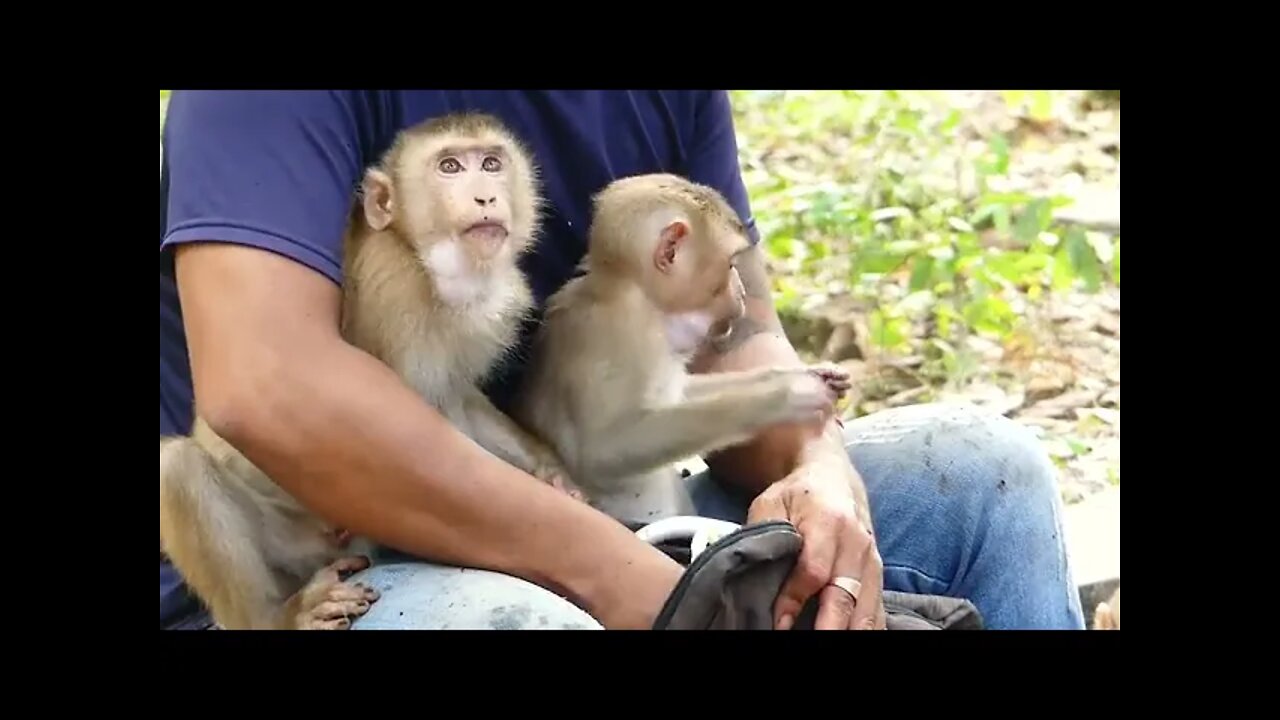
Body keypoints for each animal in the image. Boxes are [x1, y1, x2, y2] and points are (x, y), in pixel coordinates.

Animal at [160, 112, 576, 627]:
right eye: (451, 167)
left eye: (491, 164)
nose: (486, 197)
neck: (420, 259)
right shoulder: (394, 292)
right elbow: (418, 426)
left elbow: (456, 400)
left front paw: (550, 472)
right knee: (177, 468)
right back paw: (275, 617)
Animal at [506, 170, 849, 525]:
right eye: (730, 265)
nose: (741, 290)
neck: (642, 298)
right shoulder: (623, 332)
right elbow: (599, 449)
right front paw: (786, 397)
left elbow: (679, 394)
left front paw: (801, 375)